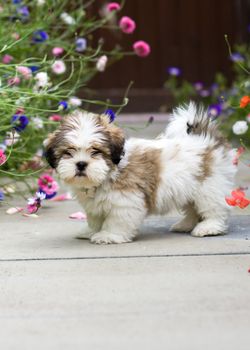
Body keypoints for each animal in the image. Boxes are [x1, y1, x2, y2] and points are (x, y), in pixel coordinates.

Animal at [45, 101, 236, 243]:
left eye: (96, 151)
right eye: (68, 152)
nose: (81, 164)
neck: (108, 173)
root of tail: (206, 138)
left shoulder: (125, 200)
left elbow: (117, 220)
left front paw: (108, 235)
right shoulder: (95, 206)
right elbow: (95, 218)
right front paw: (90, 231)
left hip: (208, 186)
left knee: (214, 207)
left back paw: (209, 227)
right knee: (192, 208)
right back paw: (185, 225)